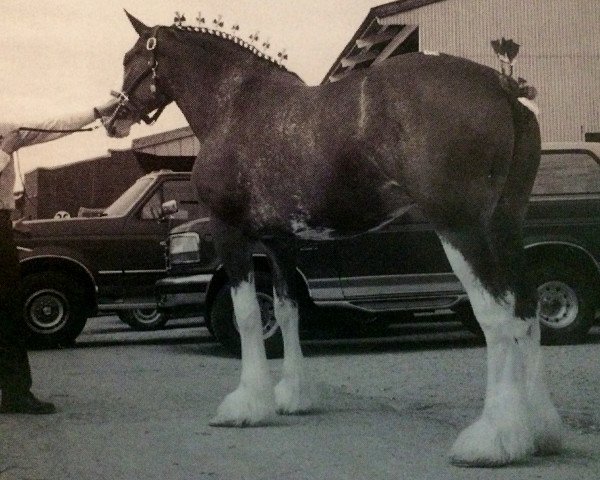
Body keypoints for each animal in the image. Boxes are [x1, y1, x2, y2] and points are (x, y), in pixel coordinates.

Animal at [105, 11, 564, 466]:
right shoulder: (280, 242)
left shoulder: (229, 232)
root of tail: (503, 86)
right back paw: (541, 431)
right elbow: (287, 311)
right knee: (525, 310)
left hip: (463, 228)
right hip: (505, 225)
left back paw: (492, 439)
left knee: (496, 316)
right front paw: (292, 396)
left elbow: (248, 315)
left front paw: (247, 405)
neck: (235, 105)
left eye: (129, 58)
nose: (111, 119)